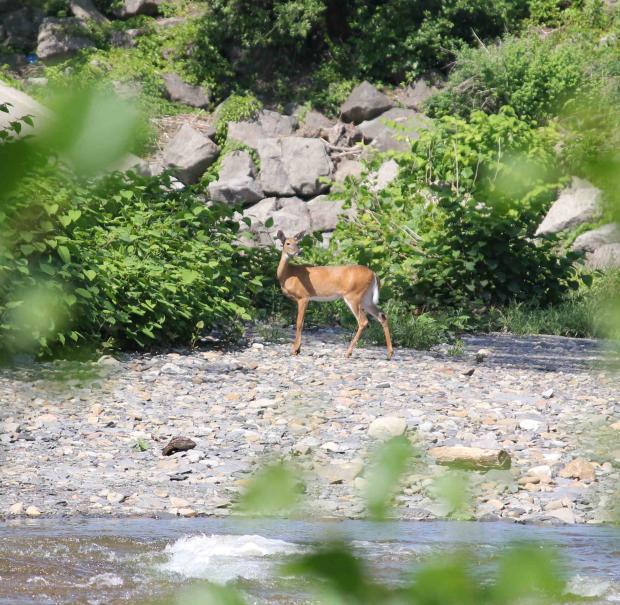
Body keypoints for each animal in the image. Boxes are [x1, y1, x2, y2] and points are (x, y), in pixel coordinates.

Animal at [276, 230, 392, 358]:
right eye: (287, 243)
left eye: (297, 243)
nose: (299, 251)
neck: (289, 275)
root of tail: (374, 274)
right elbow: (301, 322)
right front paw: (298, 349)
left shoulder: (303, 297)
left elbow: (299, 323)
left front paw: (294, 350)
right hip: (366, 298)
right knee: (382, 315)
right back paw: (389, 353)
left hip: (353, 295)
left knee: (363, 321)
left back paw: (348, 352)